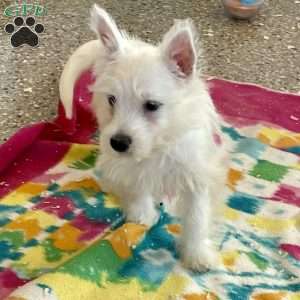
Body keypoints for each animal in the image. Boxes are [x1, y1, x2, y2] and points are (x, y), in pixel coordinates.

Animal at [59, 4, 226, 272]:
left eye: (152, 105)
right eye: (111, 100)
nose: (118, 143)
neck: (157, 147)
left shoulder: (196, 175)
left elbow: (197, 216)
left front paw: (197, 254)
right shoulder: (125, 164)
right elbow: (136, 184)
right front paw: (141, 216)